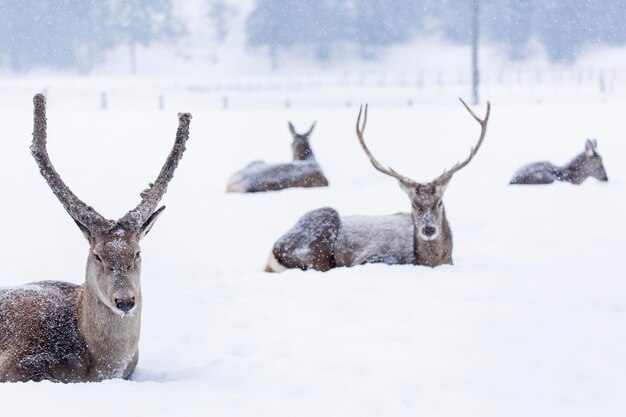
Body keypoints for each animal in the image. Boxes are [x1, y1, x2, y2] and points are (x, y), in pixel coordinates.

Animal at [262, 98, 488, 272]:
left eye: (439, 202)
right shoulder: (372, 257)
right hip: (320, 230)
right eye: (413, 203)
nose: (429, 229)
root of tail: (273, 250)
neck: (431, 262)